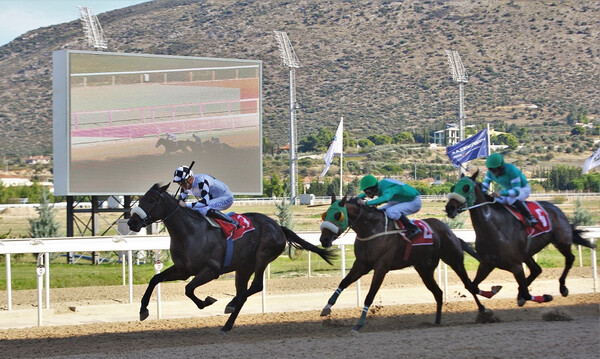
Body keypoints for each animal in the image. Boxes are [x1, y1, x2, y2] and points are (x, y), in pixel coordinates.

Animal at [127, 184, 336, 334]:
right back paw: (227, 323)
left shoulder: (211, 270)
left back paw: (231, 304)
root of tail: (279, 227)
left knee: (255, 286)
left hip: (262, 256)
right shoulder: (183, 270)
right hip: (243, 268)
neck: (190, 232)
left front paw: (207, 301)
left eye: (152, 199)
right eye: (141, 197)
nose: (132, 222)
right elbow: (155, 279)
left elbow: (188, 289)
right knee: (244, 292)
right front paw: (143, 310)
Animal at [318, 195, 488, 334]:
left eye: (338, 215)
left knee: (469, 285)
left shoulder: (381, 268)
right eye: (324, 214)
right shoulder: (362, 264)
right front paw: (326, 308)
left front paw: (359, 324)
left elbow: (370, 296)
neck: (372, 230)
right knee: (438, 293)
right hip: (424, 269)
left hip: (453, 259)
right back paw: (437, 321)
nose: (324, 240)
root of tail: (451, 232)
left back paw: (484, 312)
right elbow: (343, 282)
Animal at [446, 173, 596, 308]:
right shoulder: (487, 263)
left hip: (561, 241)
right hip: (526, 254)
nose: (449, 208)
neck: (493, 227)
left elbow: (526, 294)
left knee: (569, 258)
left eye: (466, 187)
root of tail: (558, 210)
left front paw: (546, 297)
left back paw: (563, 288)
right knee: (536, 270)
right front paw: (495, 290)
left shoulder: (515, 265)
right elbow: (472, 286)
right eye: (453, 187)